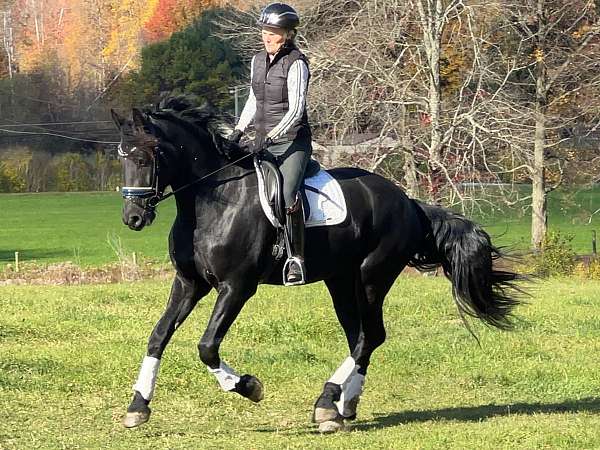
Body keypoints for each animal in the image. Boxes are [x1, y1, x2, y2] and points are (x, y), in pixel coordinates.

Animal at [110, 97, 524, 432]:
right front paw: (137, 407)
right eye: (121, 158)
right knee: (361, 337)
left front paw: (249, 387)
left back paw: (328, 403)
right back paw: (343, 406)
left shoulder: (236, 287)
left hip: (372, 277)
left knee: (370, 336)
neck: (213, 201)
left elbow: (207, 346)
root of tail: (408, 201)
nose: (133, 218)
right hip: (340, 281)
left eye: (144, 158)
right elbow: (158, 336)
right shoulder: (189, 283)